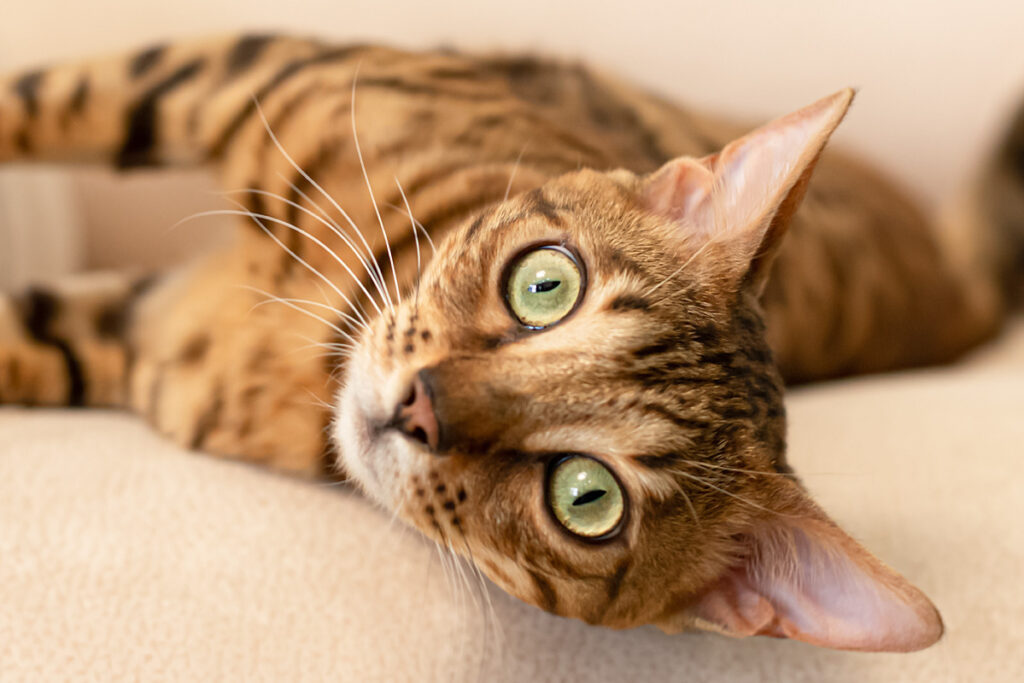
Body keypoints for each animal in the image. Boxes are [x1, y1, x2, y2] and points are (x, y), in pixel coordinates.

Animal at [2, 31, 1024, 651]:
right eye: (545, 284)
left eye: (587, 496)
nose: (419, 404)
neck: (323, 325)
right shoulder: (244, 71)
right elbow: (41, 97)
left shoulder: (138, 333)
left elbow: (24, 339)